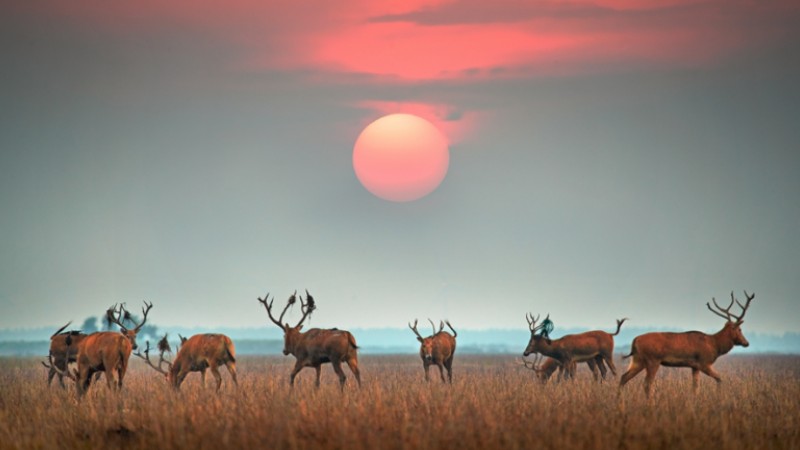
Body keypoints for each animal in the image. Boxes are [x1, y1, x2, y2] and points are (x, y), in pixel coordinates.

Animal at [620, 290, 756, 396]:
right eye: (739, 329)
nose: (746, 343)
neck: (715, 345)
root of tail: (634, 341)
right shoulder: (704, 362)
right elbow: (719, 378)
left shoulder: (694, 366)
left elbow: (695, 387)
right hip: (653, 360)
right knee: (647, 384)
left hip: (639, 360)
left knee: (623, 377)